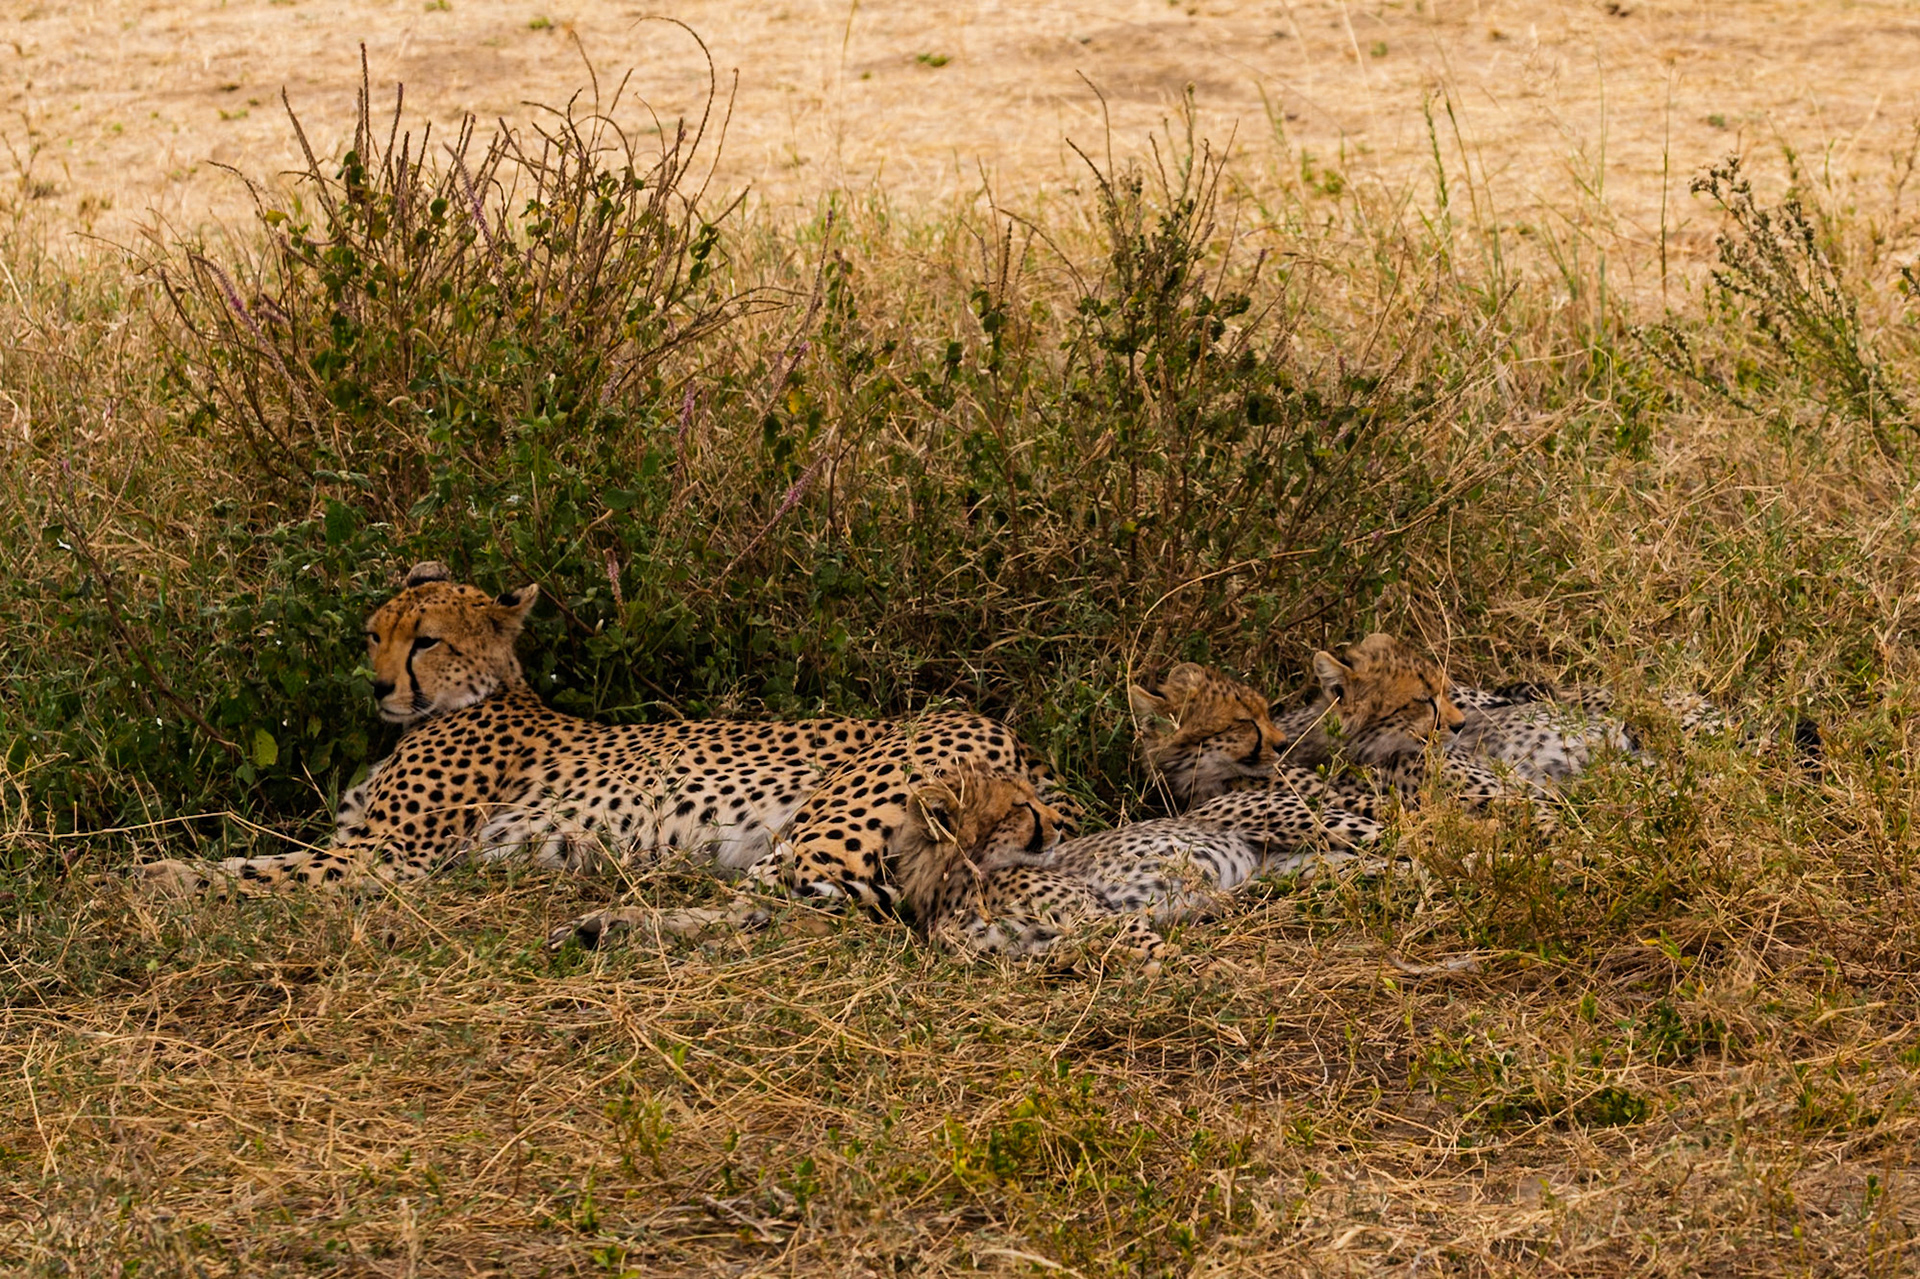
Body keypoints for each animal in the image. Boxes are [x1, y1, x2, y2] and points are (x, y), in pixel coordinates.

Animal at [134, 562, 1070, 917]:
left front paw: (152, 877)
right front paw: (158, 869)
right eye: (374, 634)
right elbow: (262, 857)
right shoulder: (360, 844)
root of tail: (1005, 728)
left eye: (425, 639)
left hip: (823, 833)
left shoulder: (382, 859)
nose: (377, 685)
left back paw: (606, 924)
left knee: (782, 911)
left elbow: (258, 872)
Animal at [893, 761, 1385, 965]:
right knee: (1367, 865)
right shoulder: (1049, 945)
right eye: (1023, 807)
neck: (961, 886)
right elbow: (1092, 953)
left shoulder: (1098, 916)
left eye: (1033, 798)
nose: (1059, 823)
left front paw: (1207, 972)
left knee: (1393, 837)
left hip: (1309, 822)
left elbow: (1156, 947)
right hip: (1302, 868)